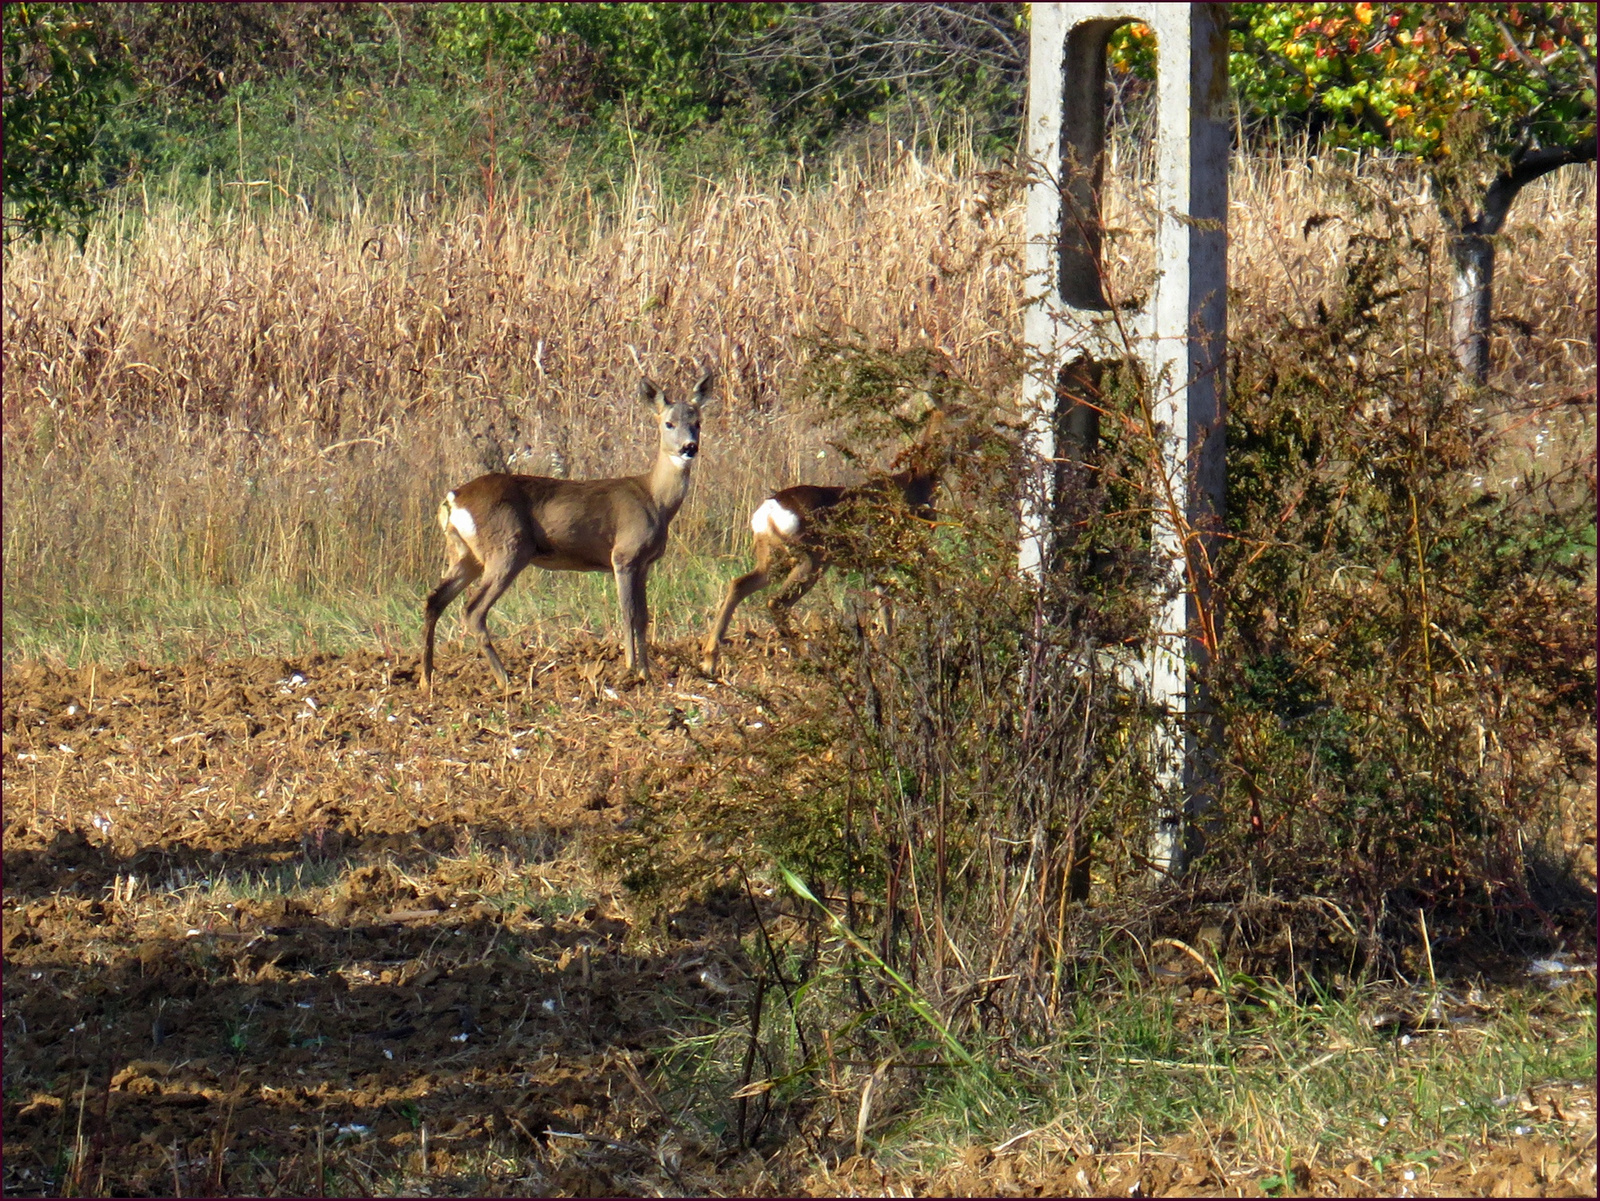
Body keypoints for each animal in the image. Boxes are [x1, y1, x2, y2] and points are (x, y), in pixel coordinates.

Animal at [422, 374, 710, 694]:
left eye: (697, 421)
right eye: (668, 423)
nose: (689, 447)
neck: (654, 498)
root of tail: (454, 498)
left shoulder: (644, 564)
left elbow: (644, 617)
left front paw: (645, 673)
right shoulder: (624, 556)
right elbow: (629, 613)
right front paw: (630, 670)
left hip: (465, 554)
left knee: (434, 600)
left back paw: (427, 678)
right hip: (508, 549)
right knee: (472, 610)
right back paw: (505, 679)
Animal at [697, 412, 940, 678]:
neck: (917, 482)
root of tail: (768, 511)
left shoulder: (878, 562)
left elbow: (885, 607)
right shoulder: (907, 551)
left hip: (772, 559)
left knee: (739, 585)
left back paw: (710, 660)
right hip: (812, 560)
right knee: (776, 602)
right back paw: (807, 659)